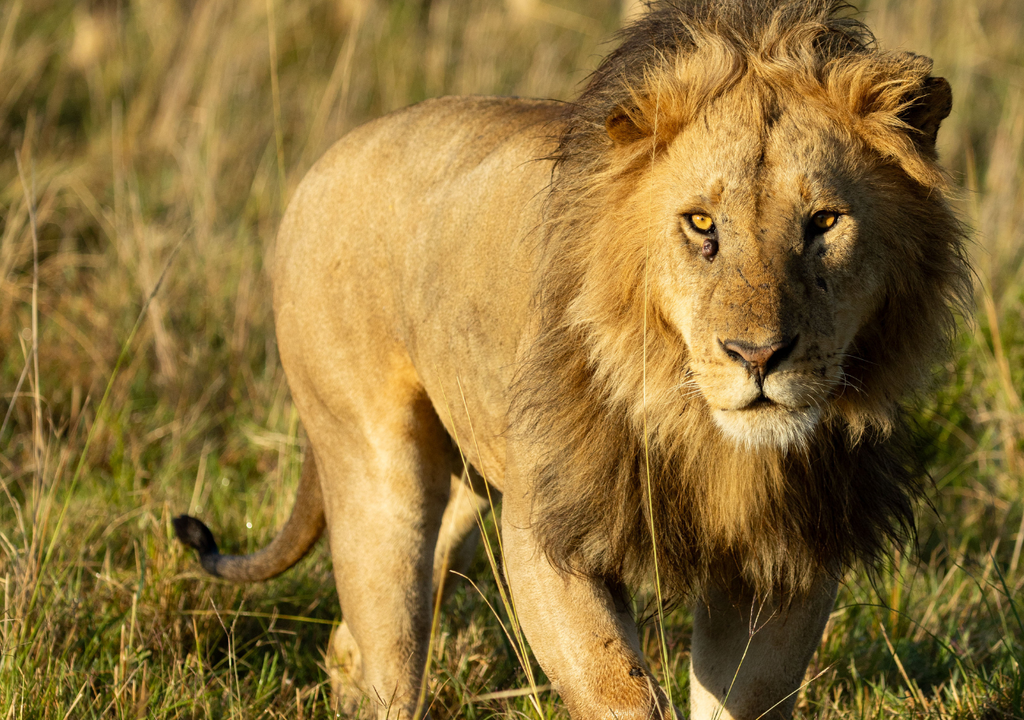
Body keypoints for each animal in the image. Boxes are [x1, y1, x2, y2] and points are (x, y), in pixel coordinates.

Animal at [173, 1, 970, 718]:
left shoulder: (787, 558)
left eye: (825, 222)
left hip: (465, 485)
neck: (701, 430)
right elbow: (617, 689)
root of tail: (324, 163)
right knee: (391, 657)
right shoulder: (548, 531)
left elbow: (747, 698)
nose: (757, 356)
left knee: (358, 639)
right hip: (377, 472)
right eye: (701, 224)